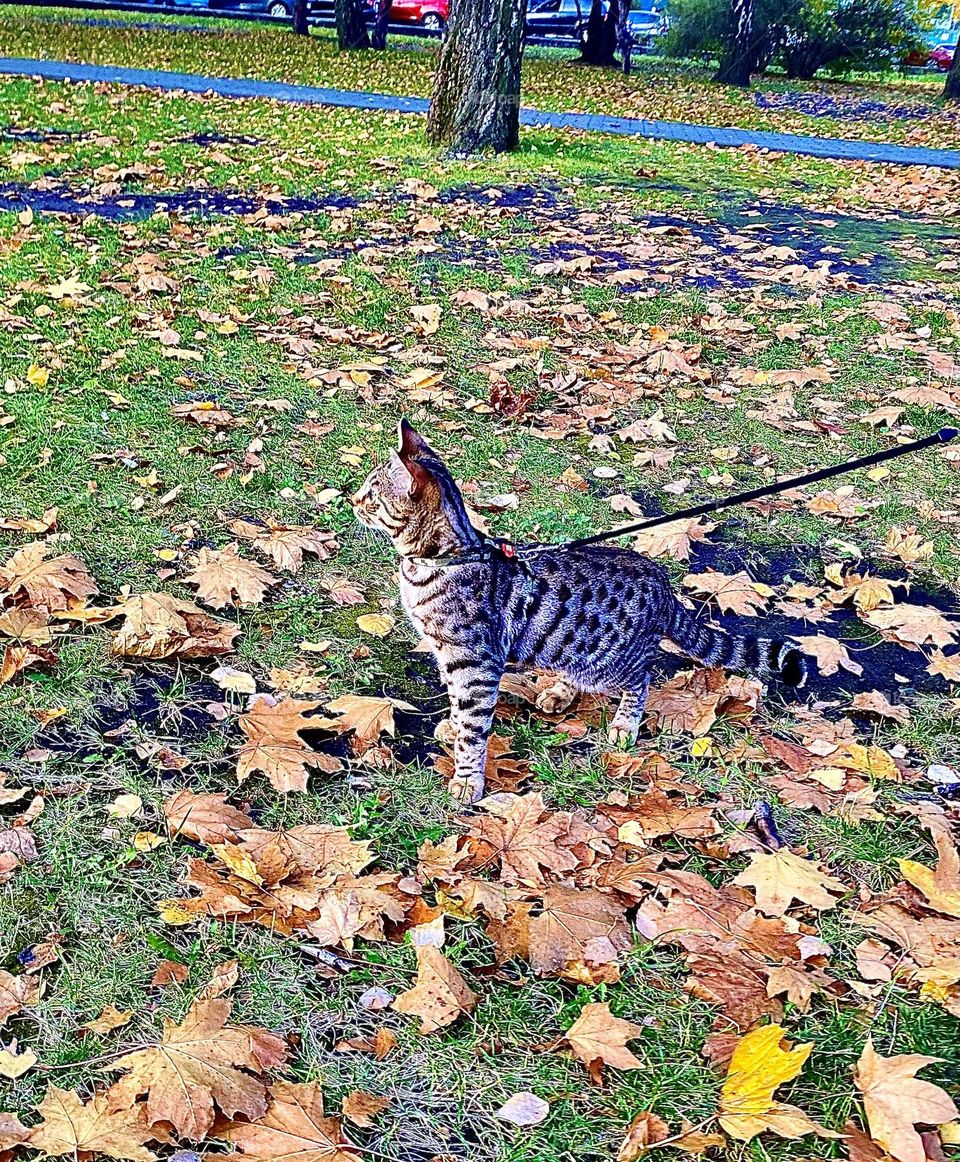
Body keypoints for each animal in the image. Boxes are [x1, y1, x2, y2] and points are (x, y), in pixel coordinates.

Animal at [350, 422, 808, 804]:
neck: (440, 560)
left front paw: (467, 779)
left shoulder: (476, 662)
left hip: (613, 663)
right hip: (572, 649)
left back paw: (624, 723)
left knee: (641, 678)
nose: (352, 500)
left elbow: (473, 727)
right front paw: (450, 724)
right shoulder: (449, 656)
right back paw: (560, 692)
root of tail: (661, 582)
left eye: (372, 493)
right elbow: (454, 702)